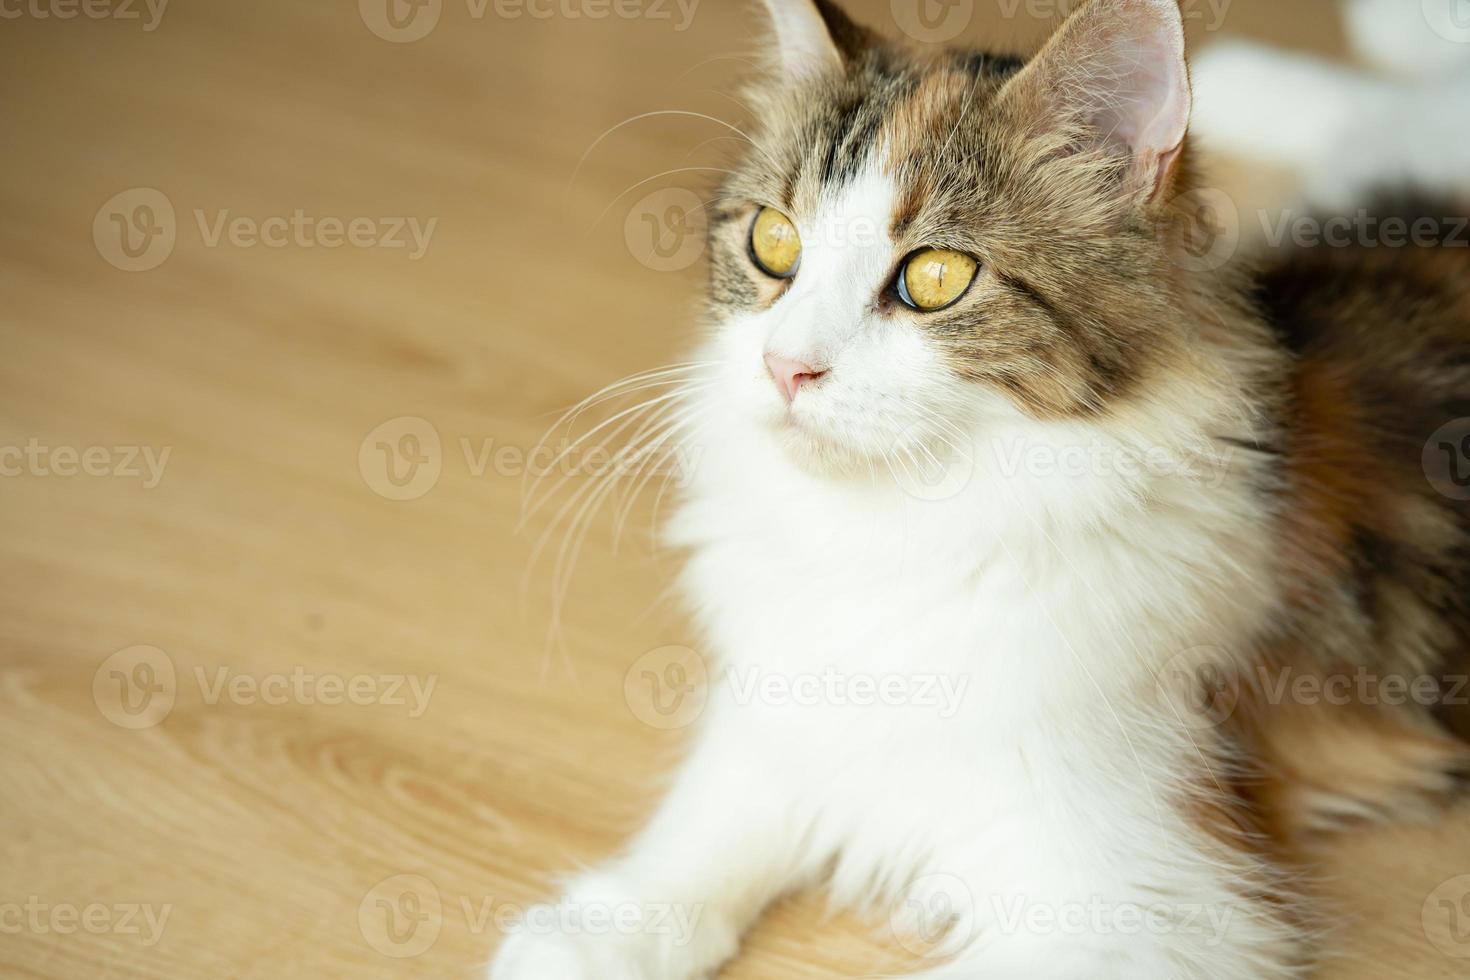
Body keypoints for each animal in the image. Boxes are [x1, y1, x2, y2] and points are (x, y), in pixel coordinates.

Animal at [496, 0, 1470, 975]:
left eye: (936, 279)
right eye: (773, 242)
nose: (784, 367)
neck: (898, 529)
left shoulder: (1142, 905)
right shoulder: (784, 707)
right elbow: (706, 822)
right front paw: (596, 934)